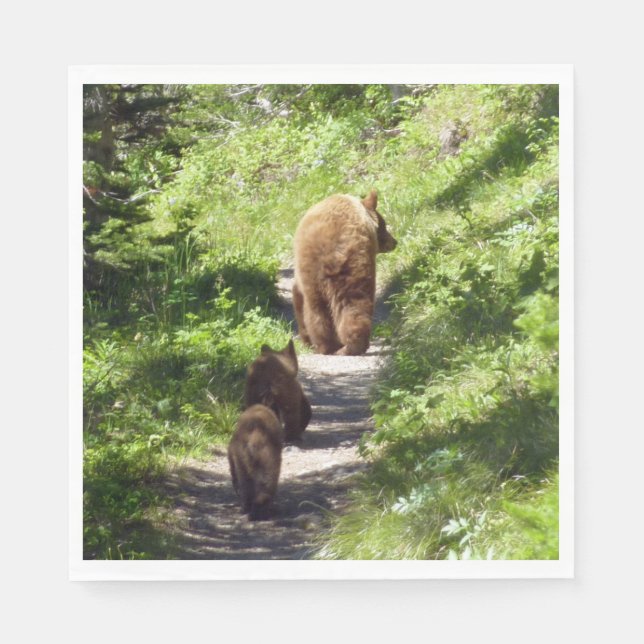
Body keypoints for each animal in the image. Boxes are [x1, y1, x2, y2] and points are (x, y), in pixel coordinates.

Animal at [292, 190, 397, 355]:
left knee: (320, 309)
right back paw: (346, 346)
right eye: (384, 224)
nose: (394, 242)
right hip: (349, 268)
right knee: (351, 304)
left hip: (322, 270)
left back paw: (329, 346)